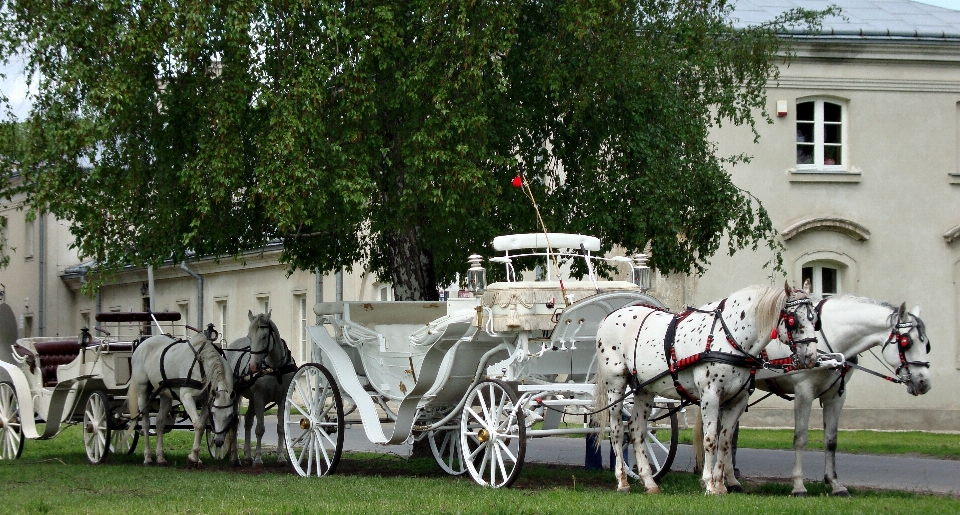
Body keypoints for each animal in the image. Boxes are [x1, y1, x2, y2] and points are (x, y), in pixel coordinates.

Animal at [126, 330, 235, 468]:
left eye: (230, 415)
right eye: (214, 414)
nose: (219, 442)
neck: (203, 366)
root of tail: (142, 344)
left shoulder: (206, 402)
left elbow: (202, 426)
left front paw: (196, 458)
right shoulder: (187, 397)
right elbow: (198, 425)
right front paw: (193, 458)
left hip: (165, 393)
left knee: (160, 421)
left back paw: (160, 458)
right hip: (142, 391)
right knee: (145, 423)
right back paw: (148, 458)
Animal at [225, 310, 296, 468]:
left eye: (264, 336)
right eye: (249, 337)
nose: (252, 367)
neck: (275, 368)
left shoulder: (282, 399)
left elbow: (280, 428)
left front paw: (281, 457)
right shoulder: (260, 398)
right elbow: (260, 429)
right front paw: (258, 459)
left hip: (252, 400)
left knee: (248, 421)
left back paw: (247, 457)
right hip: (236, 395)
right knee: (234, 423)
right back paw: (235, 458)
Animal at [592, 282, 816, 496]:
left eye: (814, 320)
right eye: (793, 321)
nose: (811, 358)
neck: (729, 337)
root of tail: (610, 316)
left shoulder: (737, 400)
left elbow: (725, 441)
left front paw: (721, 486)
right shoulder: (710, 395)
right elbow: (710, 439)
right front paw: (709, 484)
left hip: (644, 389)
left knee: (636, 428)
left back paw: (649, 482)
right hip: (616, 386)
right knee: (617, 430)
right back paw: (622, 482)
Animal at [752, 296, 928, 498]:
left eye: (927, 344)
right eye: (906, 342)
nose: (924, 382)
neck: (827, 338)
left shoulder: (835, 397)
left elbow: (831, 440)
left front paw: (834, 483)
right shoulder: (803, 391)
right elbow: (800, 437)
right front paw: (798, 485)